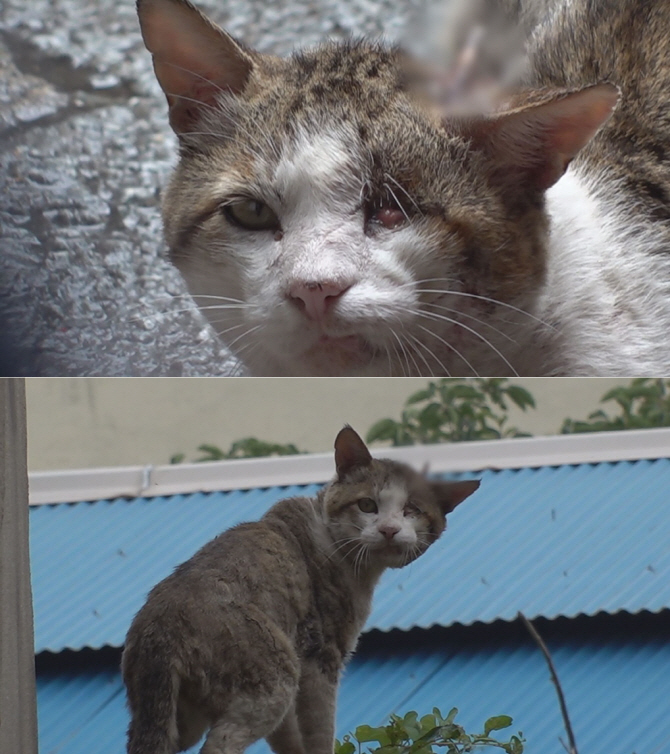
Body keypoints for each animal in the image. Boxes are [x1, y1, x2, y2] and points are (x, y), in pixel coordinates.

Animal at [119, 426, 478, 752]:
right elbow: (320, 731)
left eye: (411, 511)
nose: (389, 530)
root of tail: (159, 632)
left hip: (175, 716)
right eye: (367, 505)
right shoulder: (321, 657)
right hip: (273, 675)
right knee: (221, 743)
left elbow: (288, 738)